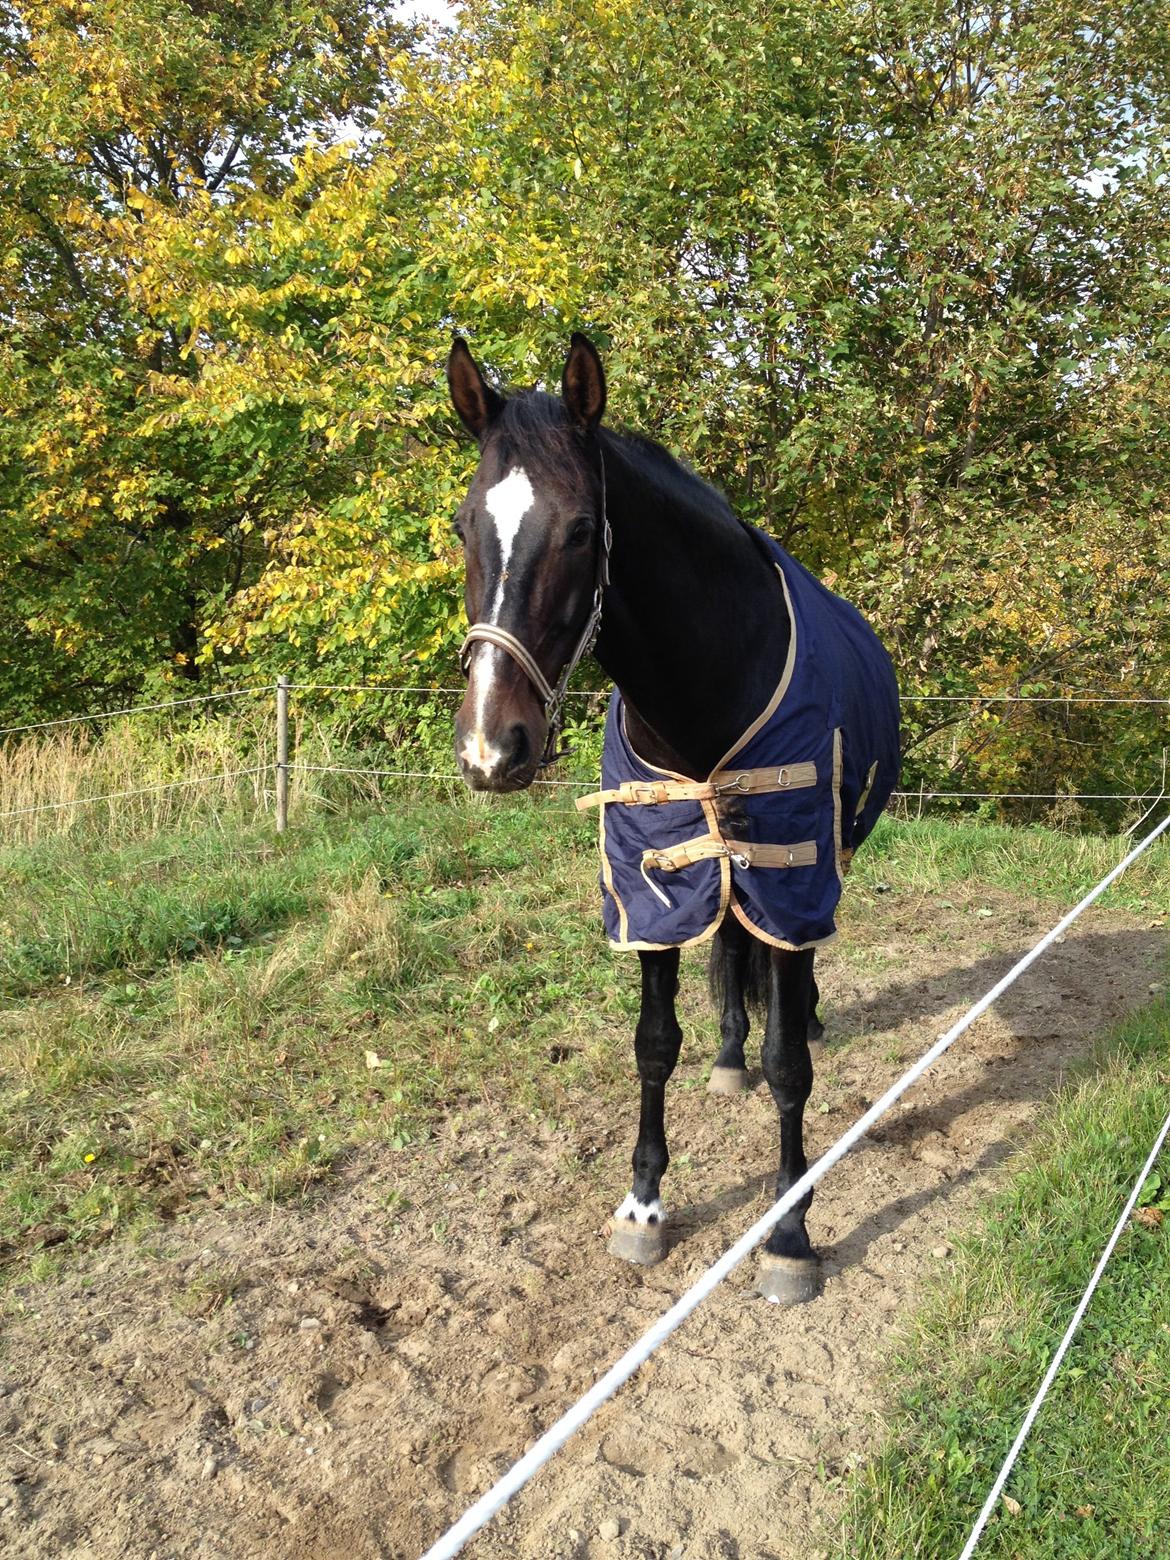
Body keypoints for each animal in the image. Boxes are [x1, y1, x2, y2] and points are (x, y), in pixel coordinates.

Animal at [446, 332, 898, 1304]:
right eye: (465, 526)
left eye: (581, 530)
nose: (491, 748)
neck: (706, 688)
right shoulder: (652, 875)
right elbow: (654, 1042)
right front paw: (645, 1203)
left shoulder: (790, 866)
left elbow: (790, 1066)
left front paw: (790, 1231)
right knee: (730, 946)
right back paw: (729, 1054)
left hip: (813, 862)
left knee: (792, 971)